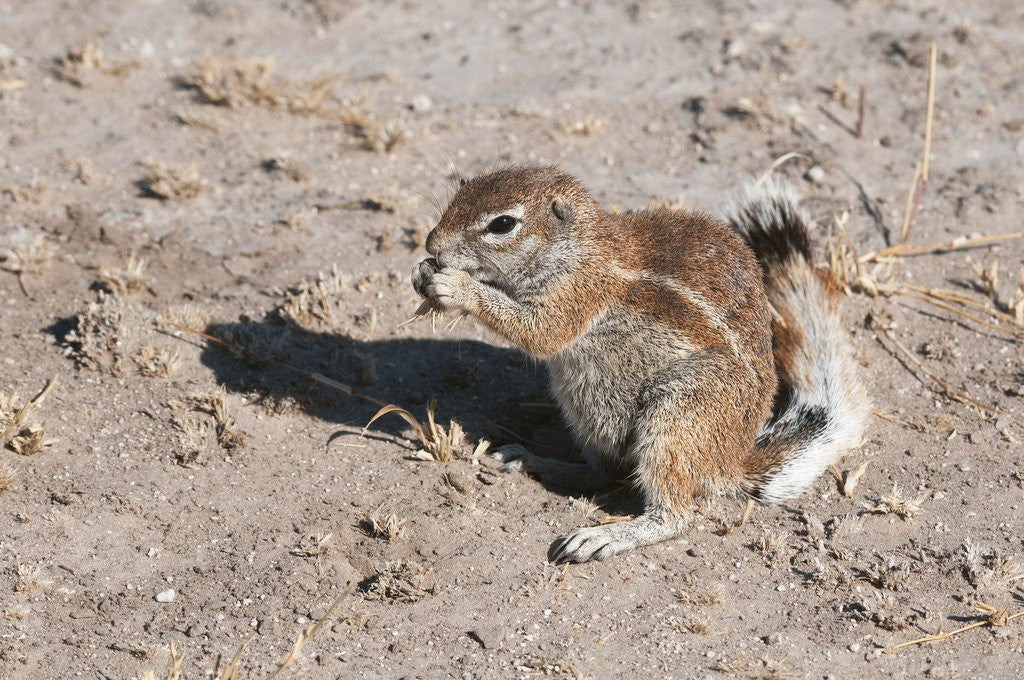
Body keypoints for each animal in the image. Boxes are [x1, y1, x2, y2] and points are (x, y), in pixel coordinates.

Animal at [411, 165, 870, 563]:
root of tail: (729, 463)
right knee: (602, 474)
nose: (432, 244)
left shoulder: (578, 293)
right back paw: (531, 459)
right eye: (462, 190)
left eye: (502, 224)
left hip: (678, 417)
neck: (576, 248)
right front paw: (422, 274)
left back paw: (606, 536)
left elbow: (540, 332)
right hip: (584, 408)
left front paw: (455, 285)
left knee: (674, 515)